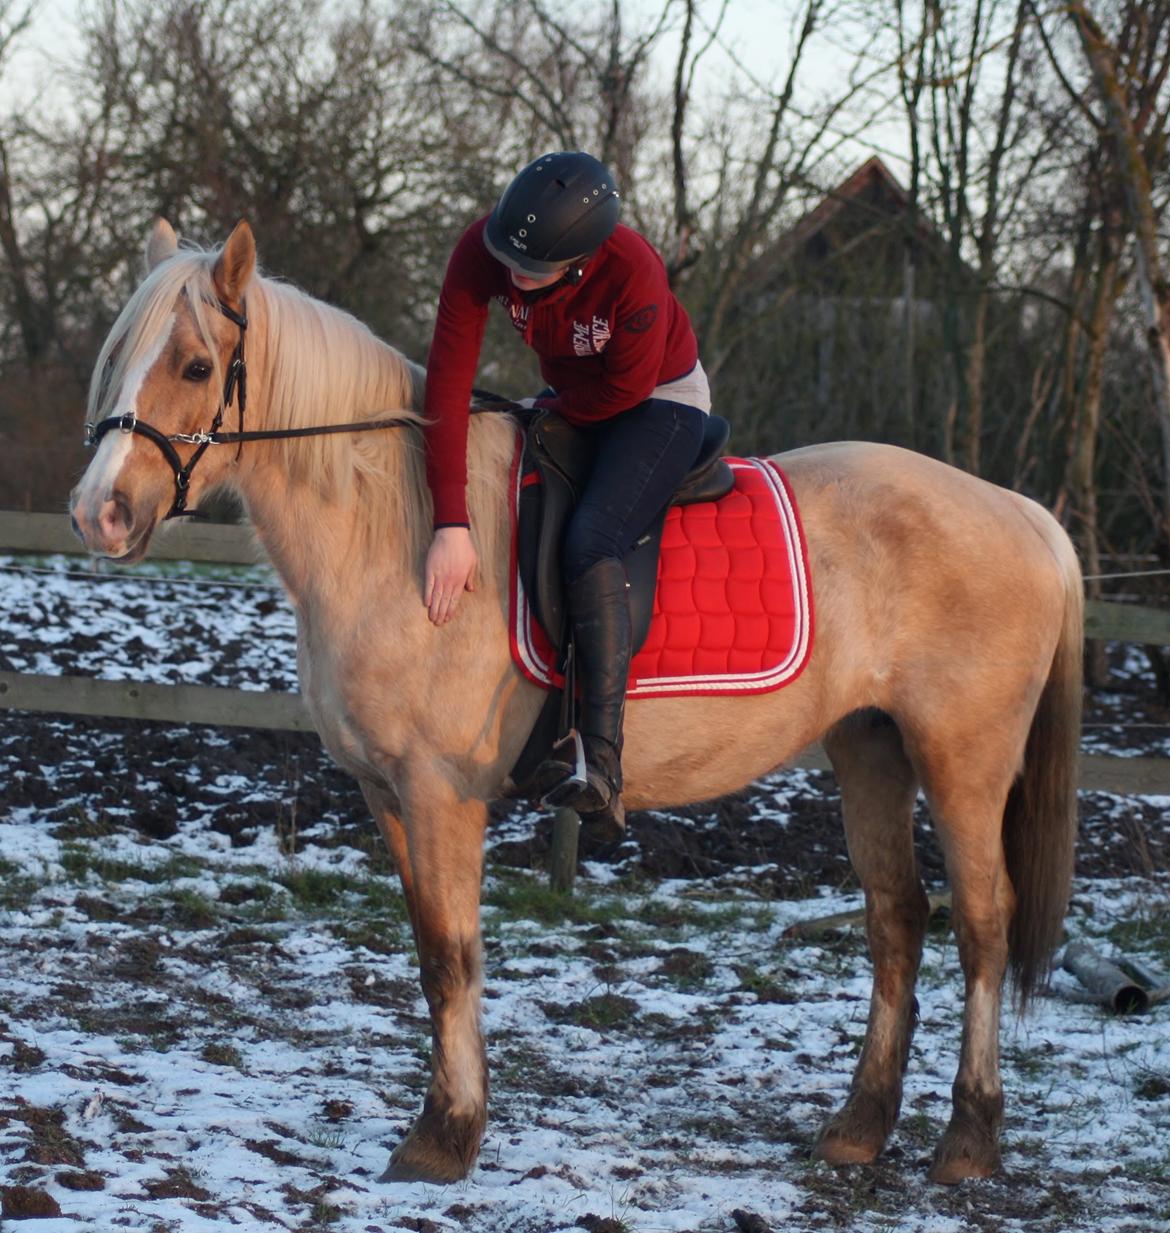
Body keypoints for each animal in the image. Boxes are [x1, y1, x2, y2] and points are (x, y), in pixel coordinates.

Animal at [70, 219, 1075, 1183]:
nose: (97, 513)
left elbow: (453, 957)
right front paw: (446, 1124)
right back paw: (859, 1128)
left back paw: (969, 1140)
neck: (396, 531)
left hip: (962, 759)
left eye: (196, 366)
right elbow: (431, 955)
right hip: (869, 747)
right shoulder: (385, 792)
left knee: (982, 926)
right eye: (116, 357)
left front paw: (445, 1137)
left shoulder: (439, 792)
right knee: (897, 918)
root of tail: (1024, 513)